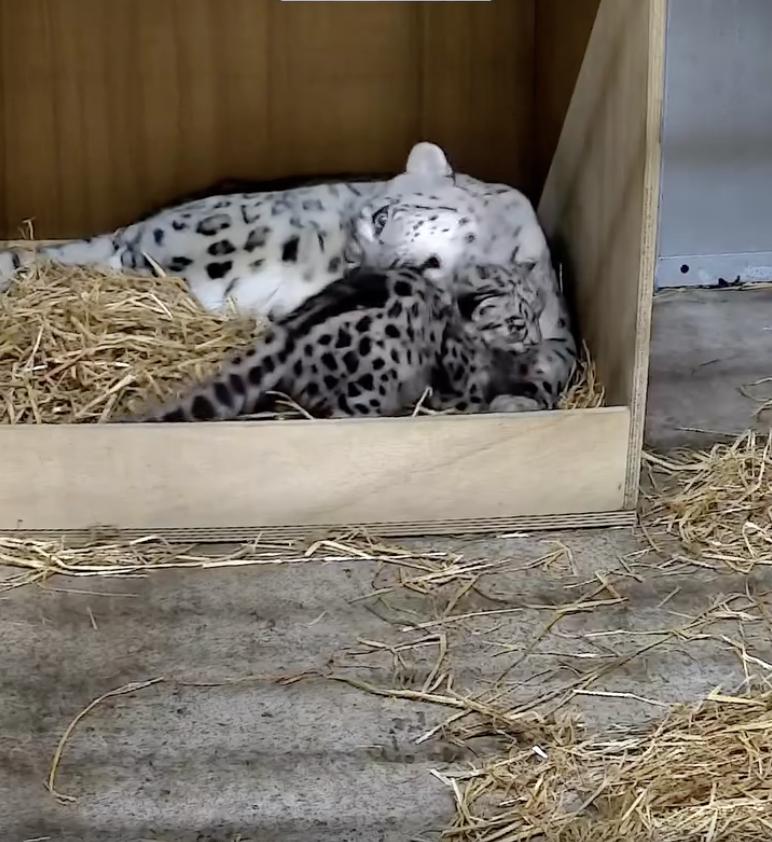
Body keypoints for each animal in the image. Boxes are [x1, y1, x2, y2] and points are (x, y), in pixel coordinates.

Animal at [126, 262, 561, 424]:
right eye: (516, 323)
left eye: (538, 313)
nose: (536, 339)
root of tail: (288, 334)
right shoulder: (461, 386)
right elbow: (472, 404)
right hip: (366, 392)